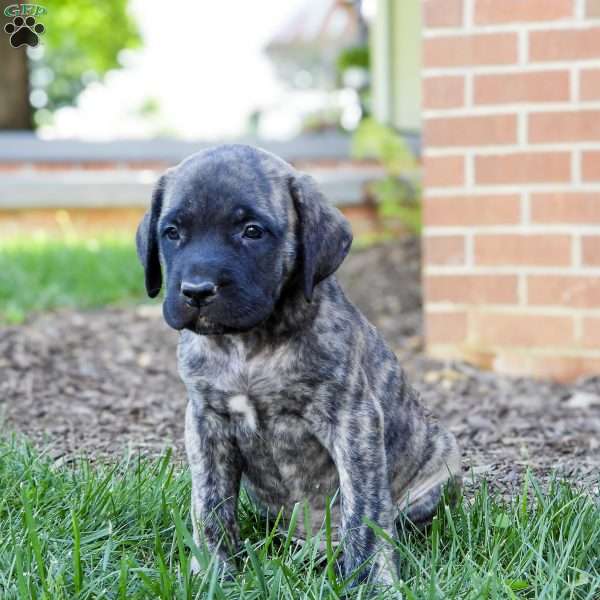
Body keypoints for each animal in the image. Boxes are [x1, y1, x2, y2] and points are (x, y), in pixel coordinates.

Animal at [136, 144, 462, 584]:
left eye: (252, 231)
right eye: (172, 232)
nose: (197, 291)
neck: (249, 345)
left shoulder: (353, 422)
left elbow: (365, 510)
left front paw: (373, 582)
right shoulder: (206, 422)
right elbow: (209, 504)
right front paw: (213, 573)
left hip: (439, 471)